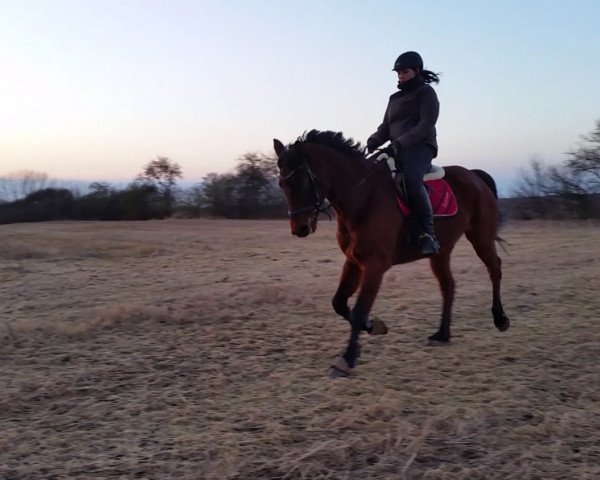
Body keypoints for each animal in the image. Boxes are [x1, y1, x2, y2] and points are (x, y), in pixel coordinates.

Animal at [274, 129, 508, 376]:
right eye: (281, 183)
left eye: (300, 180)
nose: (299, 228)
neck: (363, 196)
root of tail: (474, 176)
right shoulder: (354, 261)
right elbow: (339, 303)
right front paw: (373, 326)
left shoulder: (375, 265)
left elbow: (359, 309)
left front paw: (347, 358)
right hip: (441, 252)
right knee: (449, 286)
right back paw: (442, 334)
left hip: (481, 239)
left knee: (495, 268)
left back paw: (500, 319)